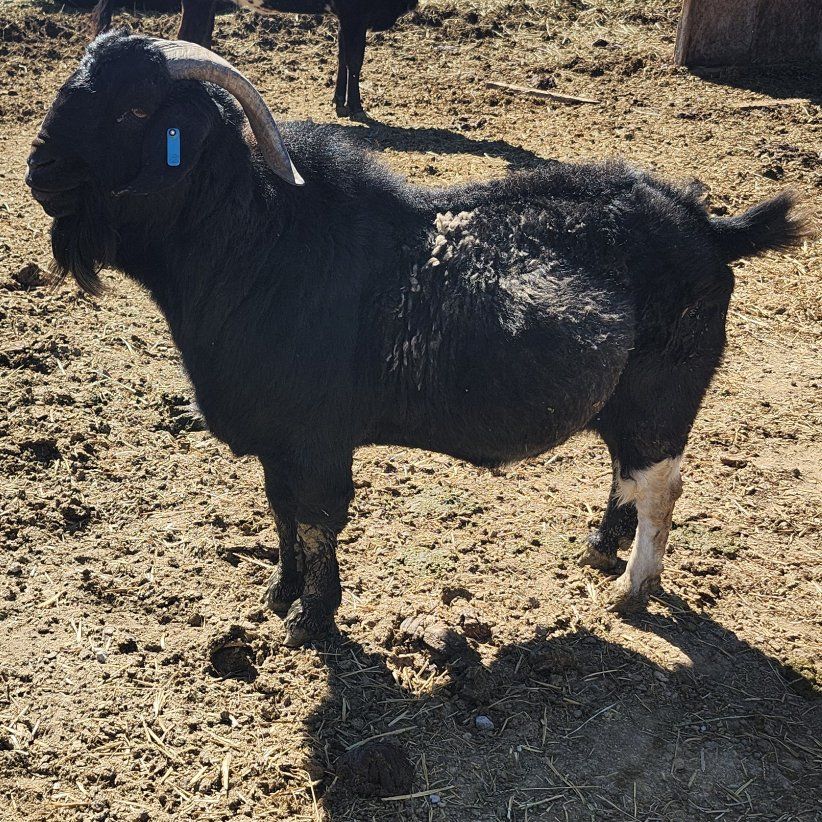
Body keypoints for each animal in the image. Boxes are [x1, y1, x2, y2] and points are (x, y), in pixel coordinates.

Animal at [26, 32, 811, 646]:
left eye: (134, 109)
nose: (39, 170)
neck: (261, 243)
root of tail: (708, 227)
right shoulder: (276, 437)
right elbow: (279, 513)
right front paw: (280, 594)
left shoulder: (318, 437)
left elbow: (316, 518)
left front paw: (311, 620)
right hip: (623, 402)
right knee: (626, 468)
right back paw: (599, 550)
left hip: (663, 395)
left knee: (661, 484)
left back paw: (630, 589)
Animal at [91, 0, 418, 115]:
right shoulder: (355, 14)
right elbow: (354, 59)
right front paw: (357, 107)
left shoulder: (346, 17)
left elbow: (342, 57)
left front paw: (340, 102)